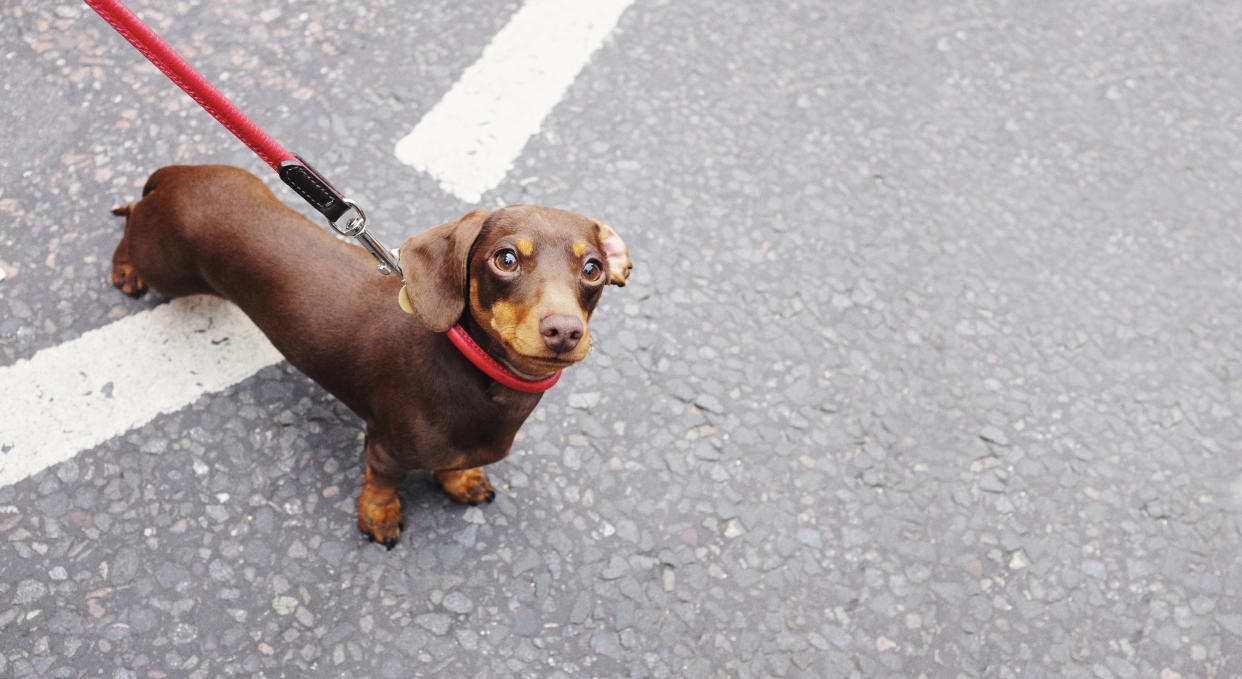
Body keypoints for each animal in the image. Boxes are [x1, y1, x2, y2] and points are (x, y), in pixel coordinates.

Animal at [109, 165, 630, 546]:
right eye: (505, 259)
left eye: (593, 269)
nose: (564, 331)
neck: (478, 376)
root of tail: (174, 177)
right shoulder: (384, 447)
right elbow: (383, 484)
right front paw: (379, 516)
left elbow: (452, 465)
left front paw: (460, 480)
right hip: (166, 266)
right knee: (130, 222)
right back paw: (125, 267)